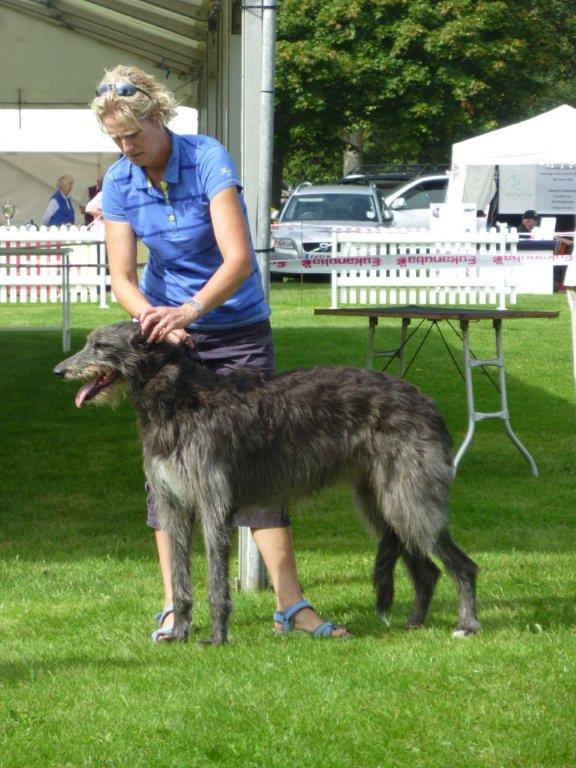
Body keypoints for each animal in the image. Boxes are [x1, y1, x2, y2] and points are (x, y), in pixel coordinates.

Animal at [54, 320, 480, 644]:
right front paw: (179, 634)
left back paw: (467, 625)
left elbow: (216, 582)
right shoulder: (172, 504)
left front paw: (217, 639)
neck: (177, 399)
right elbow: (179, 578)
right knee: (427, 570)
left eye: (100, 345)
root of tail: (428, 402)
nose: (59, 371)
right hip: (382, 502)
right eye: (88, 342)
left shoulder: (213, 505)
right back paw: (415, 623)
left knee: (463, 565)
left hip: (408, 498)